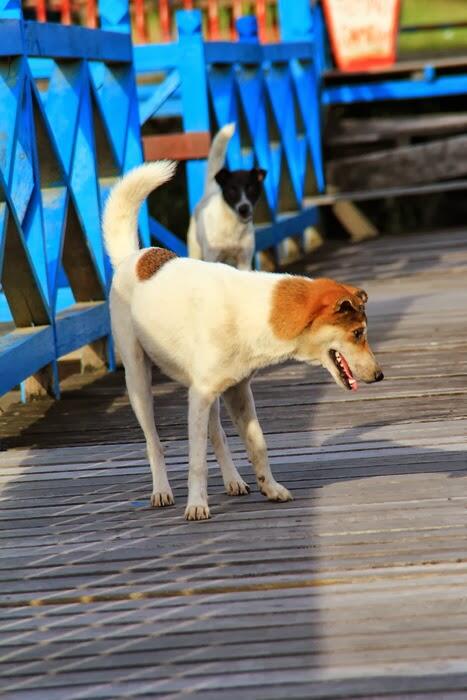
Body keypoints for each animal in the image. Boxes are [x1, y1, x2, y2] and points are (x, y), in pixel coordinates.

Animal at [103, 160, 384, 520]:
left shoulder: (236, 392)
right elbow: (196, 461)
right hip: (140, 379)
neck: (256, 312)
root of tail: (133, 257)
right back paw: (162, 491)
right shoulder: (200, 396)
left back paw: (234, 481)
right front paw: (197, 505)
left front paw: (271, 488)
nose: (380, 375)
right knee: (155, 441)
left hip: (206, 394)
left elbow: (256, 444)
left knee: (218, 436)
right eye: (358, 333)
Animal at [187, 121, 266, 270]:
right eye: (232, 190)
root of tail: (211, 189)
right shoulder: (212, 257)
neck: (233, 225)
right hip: (195, 249)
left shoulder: (244, 260)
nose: (244, 208)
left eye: (251, 188)